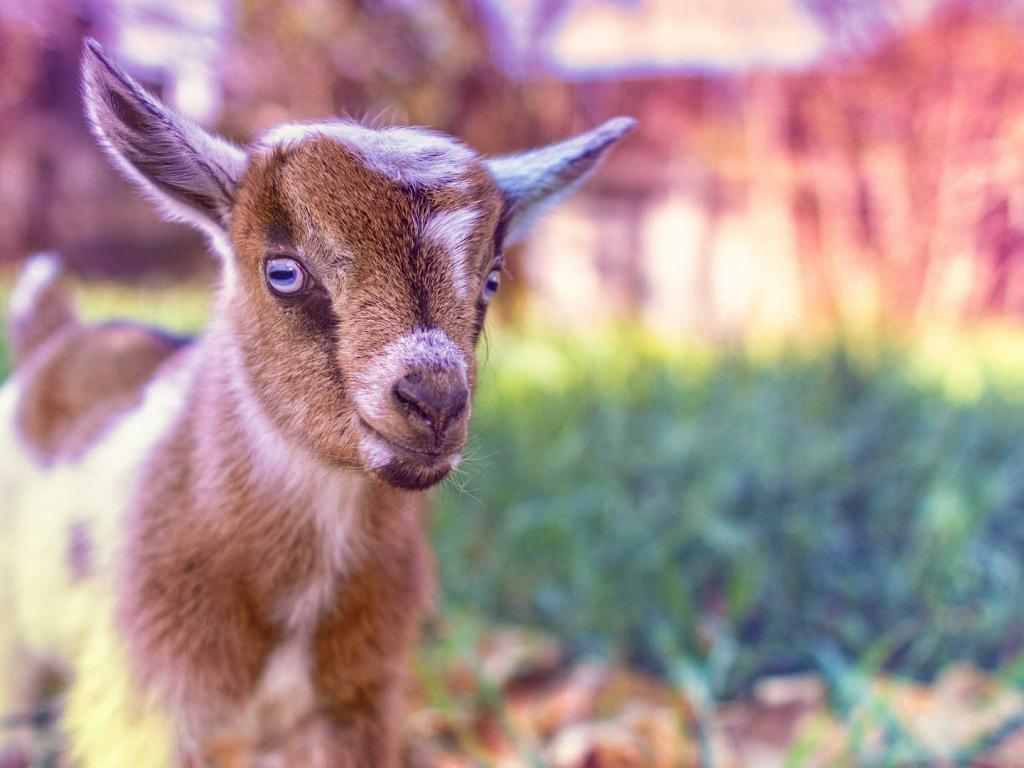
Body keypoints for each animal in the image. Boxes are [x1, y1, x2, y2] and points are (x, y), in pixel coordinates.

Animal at [0, 39, 633, 767]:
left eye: (492, 280)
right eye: (283, 271)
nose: (434, 401)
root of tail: (54, 336)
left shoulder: (357, 701)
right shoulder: (145, 707)